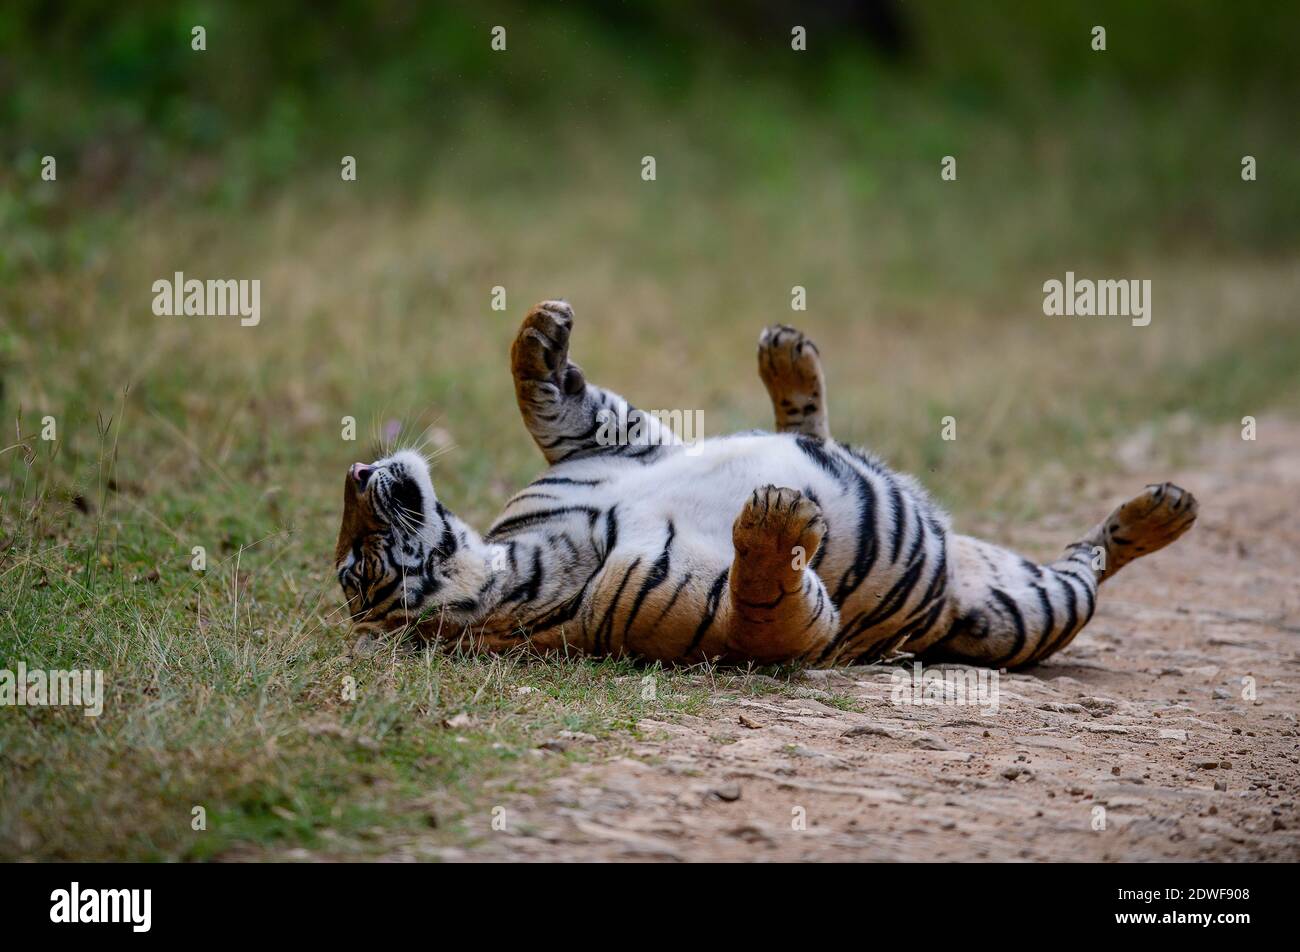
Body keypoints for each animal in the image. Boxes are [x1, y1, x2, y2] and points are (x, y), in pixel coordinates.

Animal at [335, 300, 1198, 669]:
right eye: (354, 569)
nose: (354, 470)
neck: (519, 555)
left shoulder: (615, 443)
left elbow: (549, 397)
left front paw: (541, 332)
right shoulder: (776, 634)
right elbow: (762, 603)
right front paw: (777, 522)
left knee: (812, 431)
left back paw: (786, 355)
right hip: (1024, 610)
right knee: (1094, 560)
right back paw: (1166, 514)